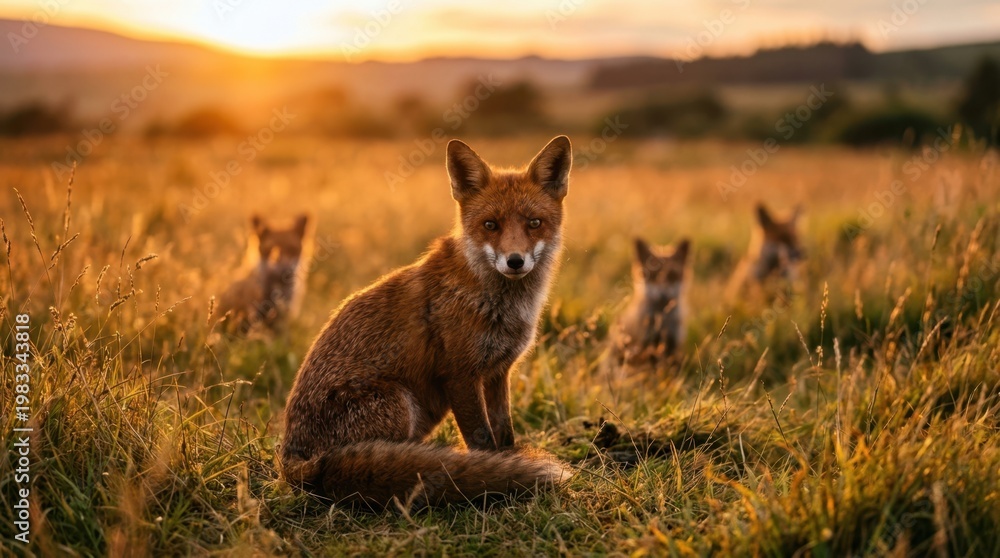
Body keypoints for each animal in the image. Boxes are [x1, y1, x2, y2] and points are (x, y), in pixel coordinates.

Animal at [280, 136, 574, 510]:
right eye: (490, 225)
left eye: (534, 223)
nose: (515, 261)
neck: (500, 304)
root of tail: (296, 463)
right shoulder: (460, 374)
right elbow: (482, 438)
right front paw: (493, 475)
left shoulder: (497, 372)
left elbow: (504, 432)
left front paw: (507, 465)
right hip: (400, 402)